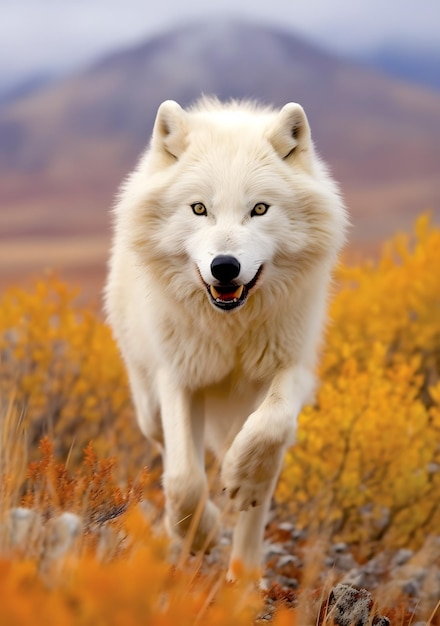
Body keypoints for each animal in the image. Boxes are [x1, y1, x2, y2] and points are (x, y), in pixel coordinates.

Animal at [105, 98, 348, 576]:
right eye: (199, 209)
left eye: (260, 209)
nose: (225, 267)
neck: (230, 329)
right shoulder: (178, 377)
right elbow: (183, 479)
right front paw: (198, 533)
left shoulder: (292, 365)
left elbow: (270, 429)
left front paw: (240, 478)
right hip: (148, 404)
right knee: (168, 451)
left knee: (259, 486)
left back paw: (245, 573)